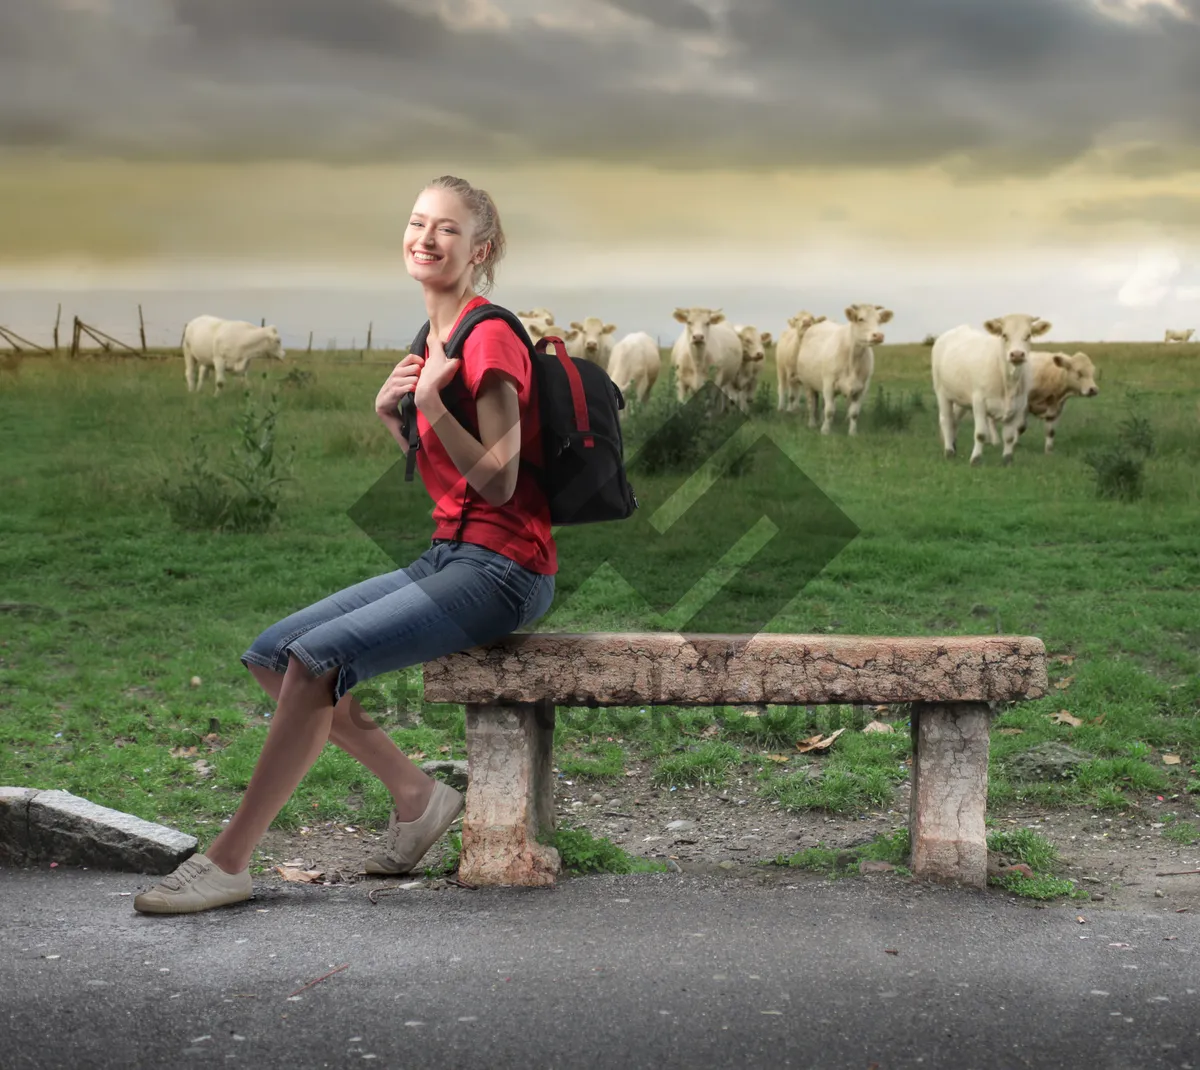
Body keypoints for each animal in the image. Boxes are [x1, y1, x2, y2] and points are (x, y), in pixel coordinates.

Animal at [796, 303, 892, 431]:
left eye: (879, 320)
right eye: (860, 319)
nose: (878, 336)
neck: (853, 358)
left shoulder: (862, 388)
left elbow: (854, 413)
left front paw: (852, 432)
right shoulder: (828, 384)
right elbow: (829, 411)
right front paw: (825, 430)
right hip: (808, 384)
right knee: (811, 404)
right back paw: (812, 424)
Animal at [931, 309, 1056, 460]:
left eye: (1028, 335)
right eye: (1004, 335)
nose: (1017, 354)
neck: (1008, 382)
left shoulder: (1019, 404)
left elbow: (1009, 437)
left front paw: (1007, 459)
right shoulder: (979, 401)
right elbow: (980, 434)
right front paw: (975, 459)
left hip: (961, 397)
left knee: (955, 420)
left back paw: (954, 447)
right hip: (942, 393)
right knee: (946, 420)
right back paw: (949, 451)